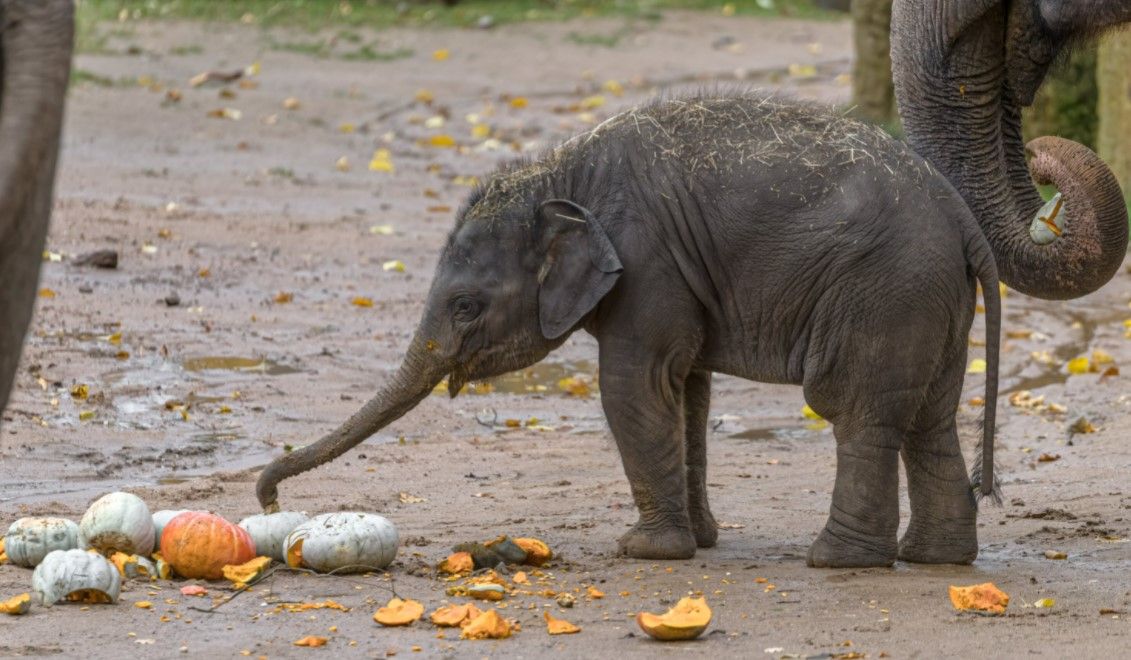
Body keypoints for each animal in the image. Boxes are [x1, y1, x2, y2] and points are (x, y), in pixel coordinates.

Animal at [260, 91, 1004, 567]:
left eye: (466, 305)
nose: (268, 493)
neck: (559, 175)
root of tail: (960, 217)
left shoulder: (648, 264)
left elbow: (632, 385)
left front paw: (644, 552)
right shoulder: (679, 278)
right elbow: (689, 391)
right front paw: (698, 542)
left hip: (883, 290)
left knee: (856, 412)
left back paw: (838, 561)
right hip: (928, 298)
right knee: (927, 418)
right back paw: (933, 559)